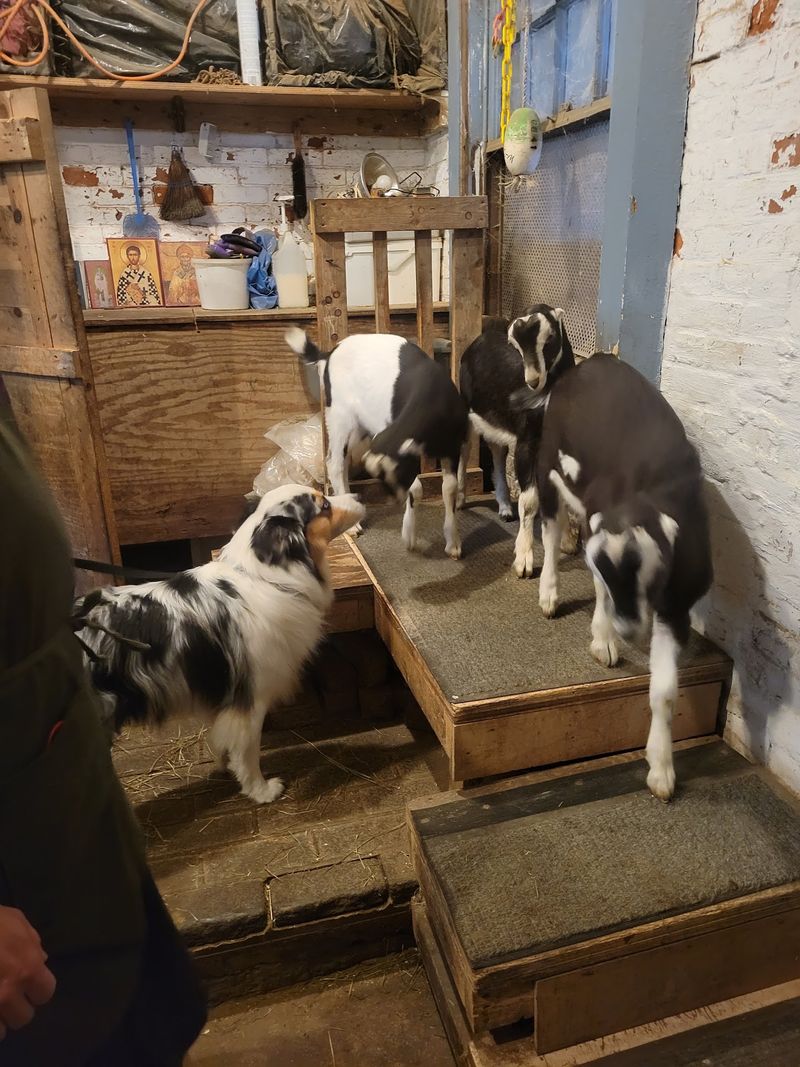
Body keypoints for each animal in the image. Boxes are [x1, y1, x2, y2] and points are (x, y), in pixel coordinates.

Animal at [286, 328, 469, 559]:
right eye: (383, 478)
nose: (395, 501)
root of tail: (330, 352)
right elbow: (417, 488)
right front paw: (409, 535)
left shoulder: (452, 448)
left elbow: (449, 488)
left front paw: (453, 543)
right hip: (339, 418)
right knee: (334, 463)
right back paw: (352, 525)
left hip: (359, 428)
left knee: (343, 462)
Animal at [458, 305, 576, 577]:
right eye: (515, 345)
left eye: (550, 337)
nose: (533, 380)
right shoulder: (526, 442)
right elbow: (529, 501)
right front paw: (523, 560)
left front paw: (566, 542)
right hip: (468, 410)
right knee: (465, 449)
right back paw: (460, 498)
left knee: (497, 451)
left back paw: (504, 506)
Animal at [534, 353, 712, 800]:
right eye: (617, 575)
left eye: (654, 577)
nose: (630, 629)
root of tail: (596, 360)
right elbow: (599, 587)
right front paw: (604, 640)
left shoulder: (677, 604)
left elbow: (664, 692)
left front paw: (662, 770)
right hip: (547, 465)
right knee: (549, 528)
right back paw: (549, 592)